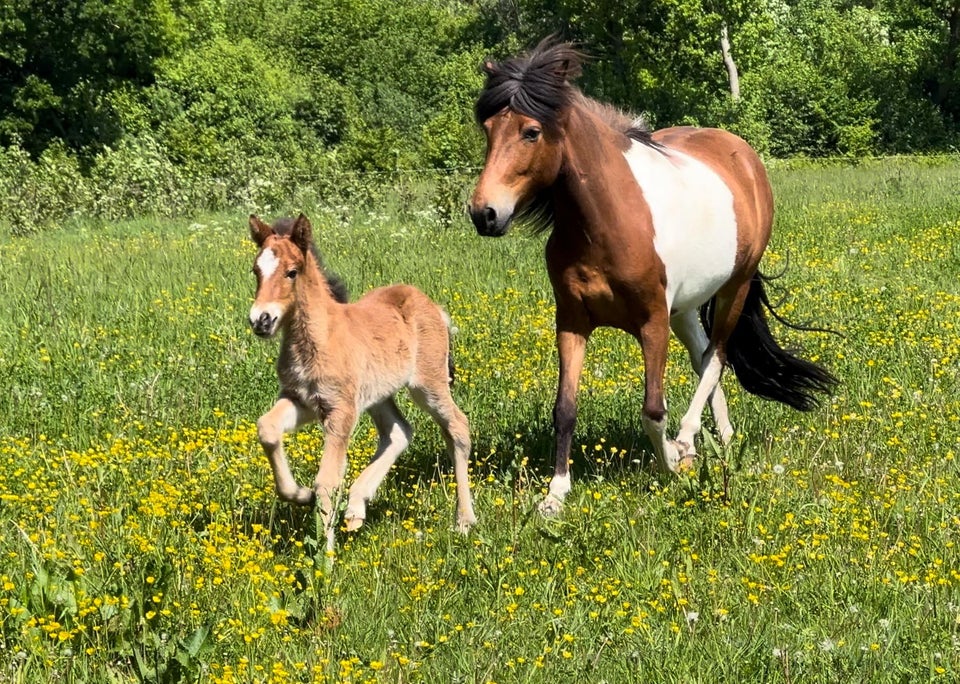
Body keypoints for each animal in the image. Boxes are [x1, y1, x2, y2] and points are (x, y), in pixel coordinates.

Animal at [246, 214, 474, 552]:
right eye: (256, 270)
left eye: (292, 272)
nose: (261, 320)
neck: (319, 338)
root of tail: (433, 306)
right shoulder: (302, 401)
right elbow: (267, 428)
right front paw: (299, 494)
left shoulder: (340, 410)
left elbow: (327, 481)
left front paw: (325, 558)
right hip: (377, 395)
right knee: (399, 432)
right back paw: (355, 507)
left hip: (428, 384)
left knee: (457, 426)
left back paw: (464, 521)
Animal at [468, 41, 836, 512]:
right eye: (488, 129)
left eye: (531, 132)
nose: (484, 213)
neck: (607, 219)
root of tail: (741, 153)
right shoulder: (571, 321)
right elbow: (564, 409)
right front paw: (555, 495)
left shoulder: (652, 322)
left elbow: (653, 410)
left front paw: (672, 465)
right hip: (687, 307)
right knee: (703, 356)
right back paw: (720, 439)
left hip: (732, 290)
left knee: (716, 357)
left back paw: (688, 442)